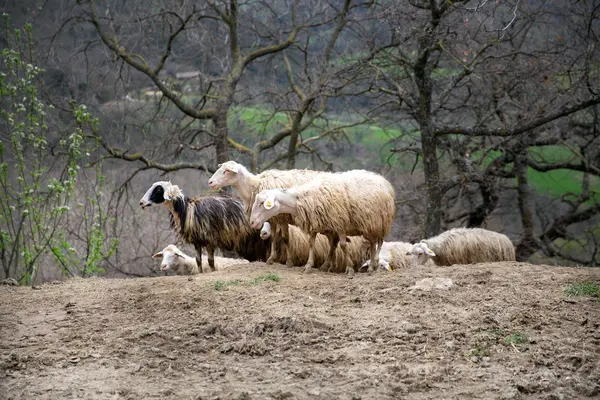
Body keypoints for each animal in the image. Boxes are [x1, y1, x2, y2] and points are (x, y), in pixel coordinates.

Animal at [138, 182, 270, 272]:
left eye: (158, 190)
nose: (141, 203)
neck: (187, 210)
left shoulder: (210, 240)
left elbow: (211, 262)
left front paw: (212, 272)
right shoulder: (197, 241)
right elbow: (198, 261)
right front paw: (200, 272)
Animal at [248, 169, 394, 276]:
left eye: (262, 203)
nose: (252, 222)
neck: (300, 200)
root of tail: (382, 180)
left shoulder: (340, 223)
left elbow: (343, 245)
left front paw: (350, 269)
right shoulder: (315, 223)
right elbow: (312, 244)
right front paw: (308, 266)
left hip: (378, 222)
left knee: (378, 243)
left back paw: (373, 265)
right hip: (369, 225)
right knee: (373, 243)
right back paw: (370, 266)